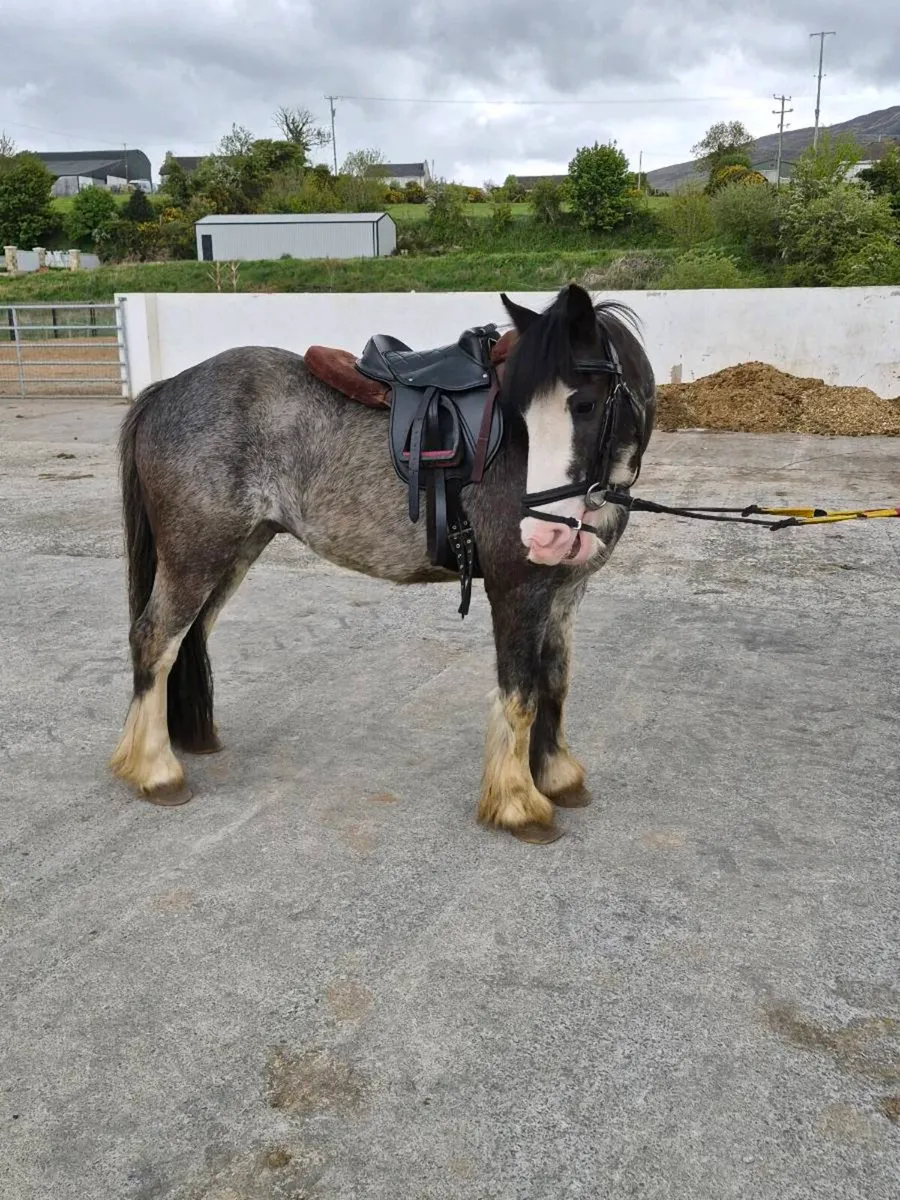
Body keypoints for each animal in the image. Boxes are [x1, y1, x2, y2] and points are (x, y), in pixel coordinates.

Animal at [110, 282, 656, 843]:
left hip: (235, 550)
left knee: (189, 636)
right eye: (521, 414)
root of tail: (168, 388)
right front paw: (519, 803)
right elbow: (520, 694)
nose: (543, 534)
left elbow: (554, 681)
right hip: (196, 553)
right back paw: (156, 771)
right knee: (155, 639)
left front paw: (558, 777)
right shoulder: (517, 589)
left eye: (585, 404)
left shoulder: (565, 591)